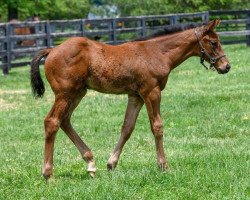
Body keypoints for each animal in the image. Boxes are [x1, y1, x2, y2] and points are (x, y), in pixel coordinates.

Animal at [30, 19, 230, 180]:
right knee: (52, 121)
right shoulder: (152, 92)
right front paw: (163, 166)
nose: (226, 66)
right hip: (65, 93)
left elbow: (127, 127)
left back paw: (91, 163)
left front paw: (111, 164)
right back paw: (48, 173)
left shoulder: (136, 96)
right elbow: (157, 126)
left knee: (64, 120)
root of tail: (52, 49)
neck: (157, 53)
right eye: (214, 43)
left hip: (78, 93)